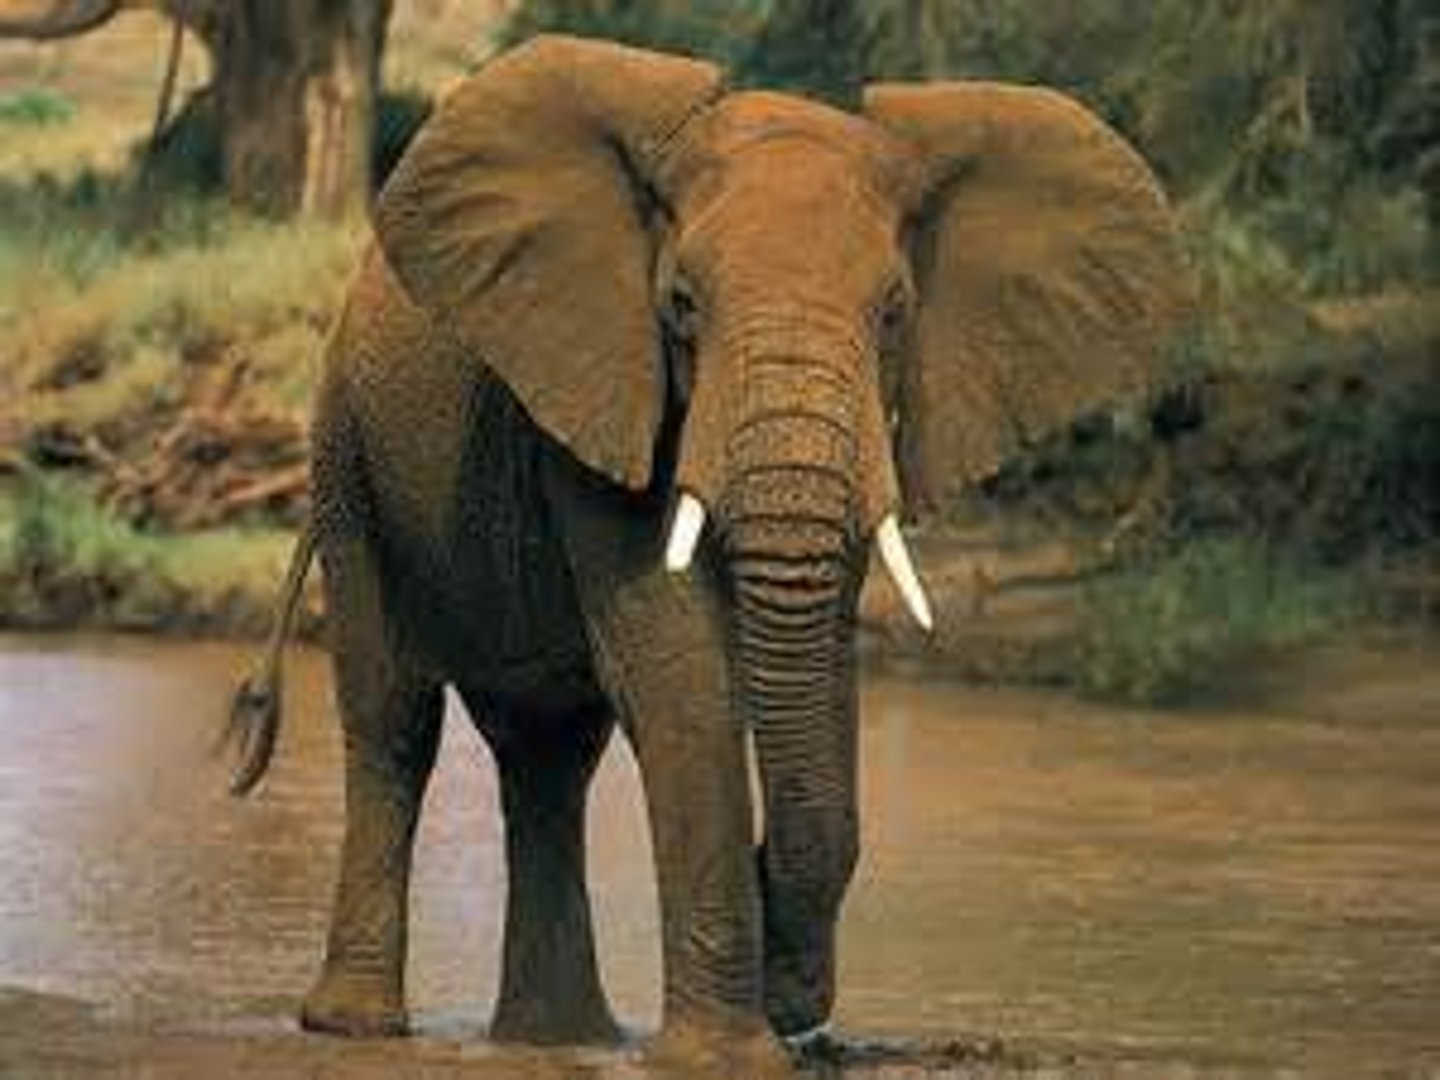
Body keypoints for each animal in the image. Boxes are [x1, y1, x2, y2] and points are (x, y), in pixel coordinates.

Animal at [225, 33, 1188, 1075]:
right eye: (681, 306)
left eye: (895, 311)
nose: (794, 986)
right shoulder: (607, 378)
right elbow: (681, 674)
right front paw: (730, 1054)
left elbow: (820, 665)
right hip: (348, 457)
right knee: (395, 717)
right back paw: (361, 1028)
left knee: (549, 756)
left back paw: (562, 1037)